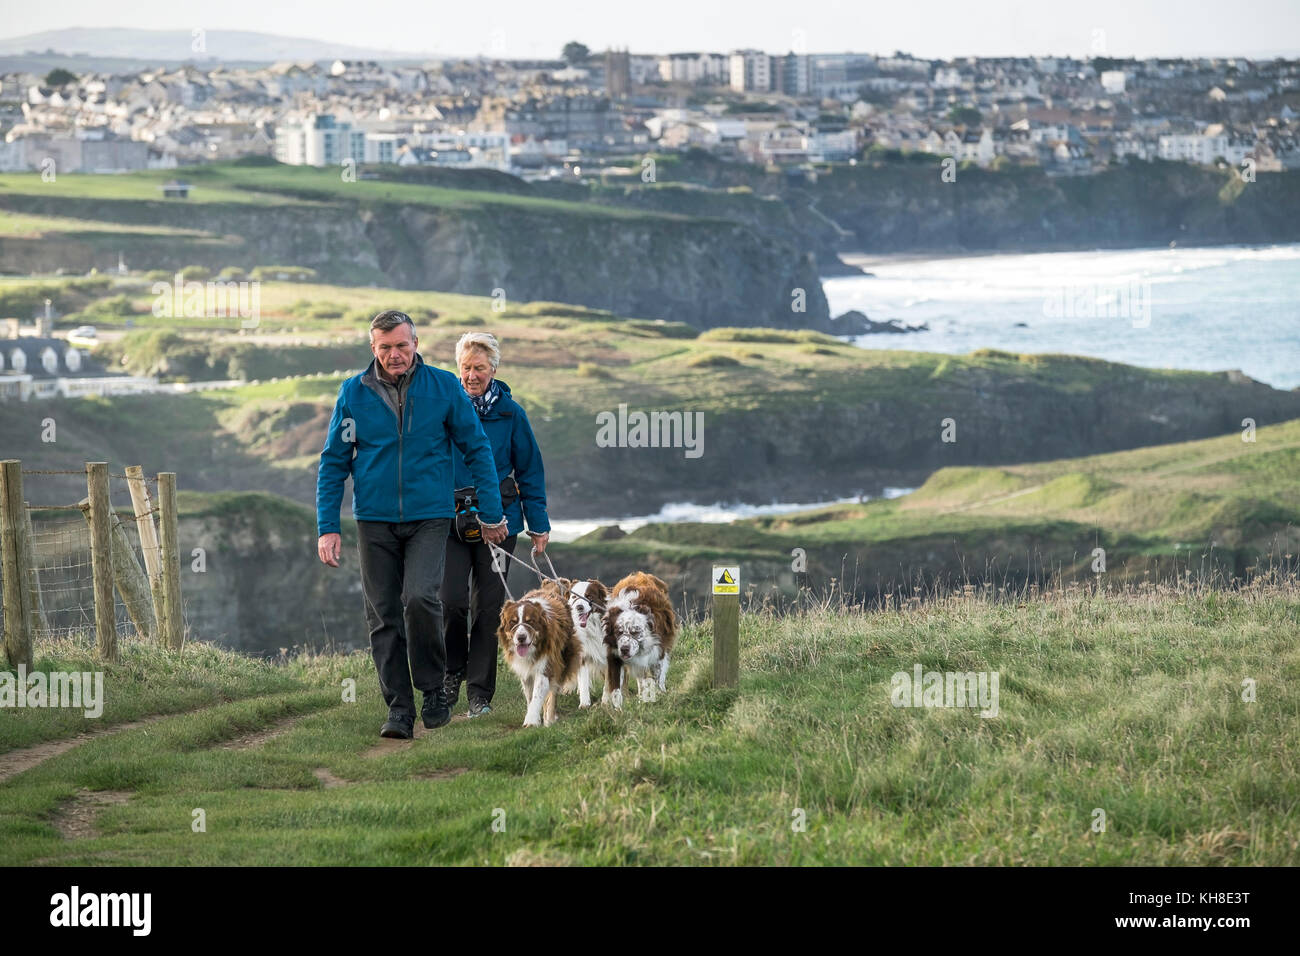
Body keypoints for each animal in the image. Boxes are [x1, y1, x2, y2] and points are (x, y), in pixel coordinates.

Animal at [496, 587, 579, 728]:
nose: (521, 637)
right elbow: (530, 696)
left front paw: (531, 721)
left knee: (553, 691)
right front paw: (534, 717)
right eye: (513, 622)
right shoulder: (525, 672)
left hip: (563, 658)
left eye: (530, 621)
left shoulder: (546, 664)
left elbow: (538, 694)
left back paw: (550, 718)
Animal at [603, 572, 676, 707]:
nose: (624, 649)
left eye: (635, 632)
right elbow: (615, 686)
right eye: (618, 632)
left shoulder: (658, 649)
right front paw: (617, 708)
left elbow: (658, 674)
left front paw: (659, 694)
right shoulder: (614, 654)